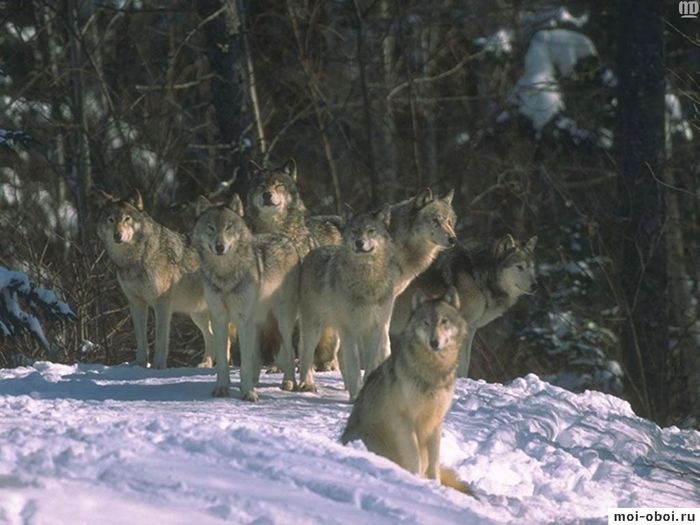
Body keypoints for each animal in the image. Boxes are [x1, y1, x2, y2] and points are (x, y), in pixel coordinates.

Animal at [95, 189, 216, 368]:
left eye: (127, 218)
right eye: (111, 219)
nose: (118, 235)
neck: (135, 260)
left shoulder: (162, 304)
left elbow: (160, 339)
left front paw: (158, 366)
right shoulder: (136, 303)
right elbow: (141, 339)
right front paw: (139, 364)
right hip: (197, 315)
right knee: (214, 337)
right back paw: (207, 365)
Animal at [191, 194, 300, 400]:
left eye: (228, 227)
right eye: (211, 228)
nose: (220, 246)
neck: (225, 276)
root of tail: (286, 240)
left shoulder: (242, 319)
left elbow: (245, 363)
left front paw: (248, 392)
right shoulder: (219, 319)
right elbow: (224, 361)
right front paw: (222, 389)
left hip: (282, 320)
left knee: (289, 351)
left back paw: (289, 383)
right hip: (257, 322)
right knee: (257, 355)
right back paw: (255, 381)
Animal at [296, 205, 400, 398]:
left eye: (370, 231)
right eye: (354, 231)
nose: (359, 242)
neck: (367, 280)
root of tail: (312, 253)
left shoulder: (374, 328)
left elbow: (369, 365)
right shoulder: (350, 329)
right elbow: (354, 366)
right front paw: (355, 396)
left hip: (336, 332)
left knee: (339, 356)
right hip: (315, 329)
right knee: (305, 352)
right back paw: (306, 386)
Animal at [342, 288, 474, 494]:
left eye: (444, 321)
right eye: (426, 322)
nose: (434, 342)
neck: (433, 372)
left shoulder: (436, 422)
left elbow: (434, 462)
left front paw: (434, 483)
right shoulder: (404, 419)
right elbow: (414, 456)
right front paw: (415, 480)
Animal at [392, 233, 540, 376]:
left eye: (531, 267)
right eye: (519, 267)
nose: (535, 286)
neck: (478, 278)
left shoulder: (471, 329)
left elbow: (466, 363)